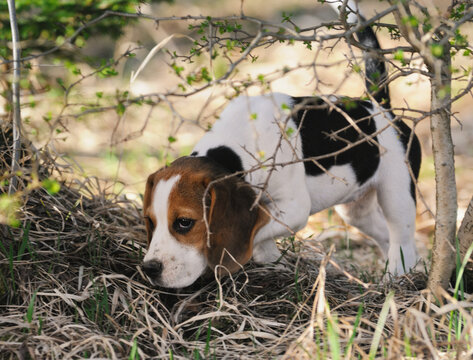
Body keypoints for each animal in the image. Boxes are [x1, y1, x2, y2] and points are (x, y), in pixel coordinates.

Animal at [140, 0, 420, 286]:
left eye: (184, 222)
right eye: (150, 221)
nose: (149, 269)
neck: (234, 151)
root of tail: (381, 107)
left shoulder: (295, 208)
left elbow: (258, 230)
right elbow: (259, 233)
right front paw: (272, 261)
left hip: (397, 194)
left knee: (403, 240)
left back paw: (396, 278)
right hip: (356, 209)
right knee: (386, 236)